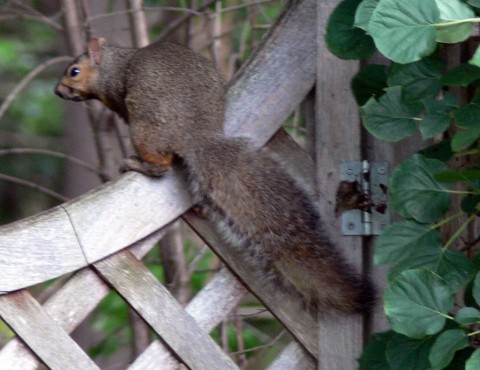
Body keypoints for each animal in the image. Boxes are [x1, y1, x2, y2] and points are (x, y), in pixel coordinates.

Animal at [54, 38, 374, 316]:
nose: (58, 92)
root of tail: (193, 135)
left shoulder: (115, 93)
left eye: (74, 71)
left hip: (144, 129)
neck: (115, 62)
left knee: (161, 165)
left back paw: (137, 164)